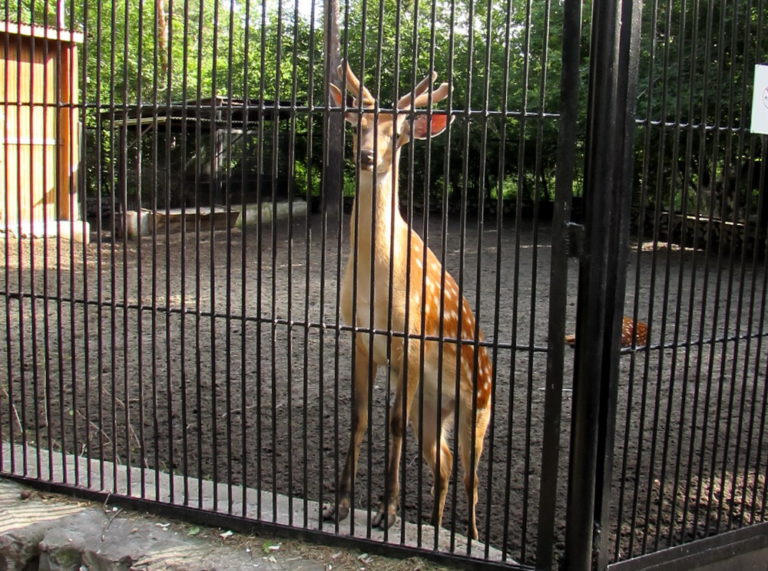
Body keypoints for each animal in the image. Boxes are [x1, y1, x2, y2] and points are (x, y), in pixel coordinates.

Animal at [322, 62, 492, 540]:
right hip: (432, 409)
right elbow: (360, 417)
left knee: (472, 474)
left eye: (397, 133)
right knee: (445, 462)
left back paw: (472, 537)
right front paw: (338, 505)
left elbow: (392, 422)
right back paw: (434, 526)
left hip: (480, 405)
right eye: (357, 126)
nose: (367, 156)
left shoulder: (411, 339)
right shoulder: (359, 336)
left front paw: (388, 512)